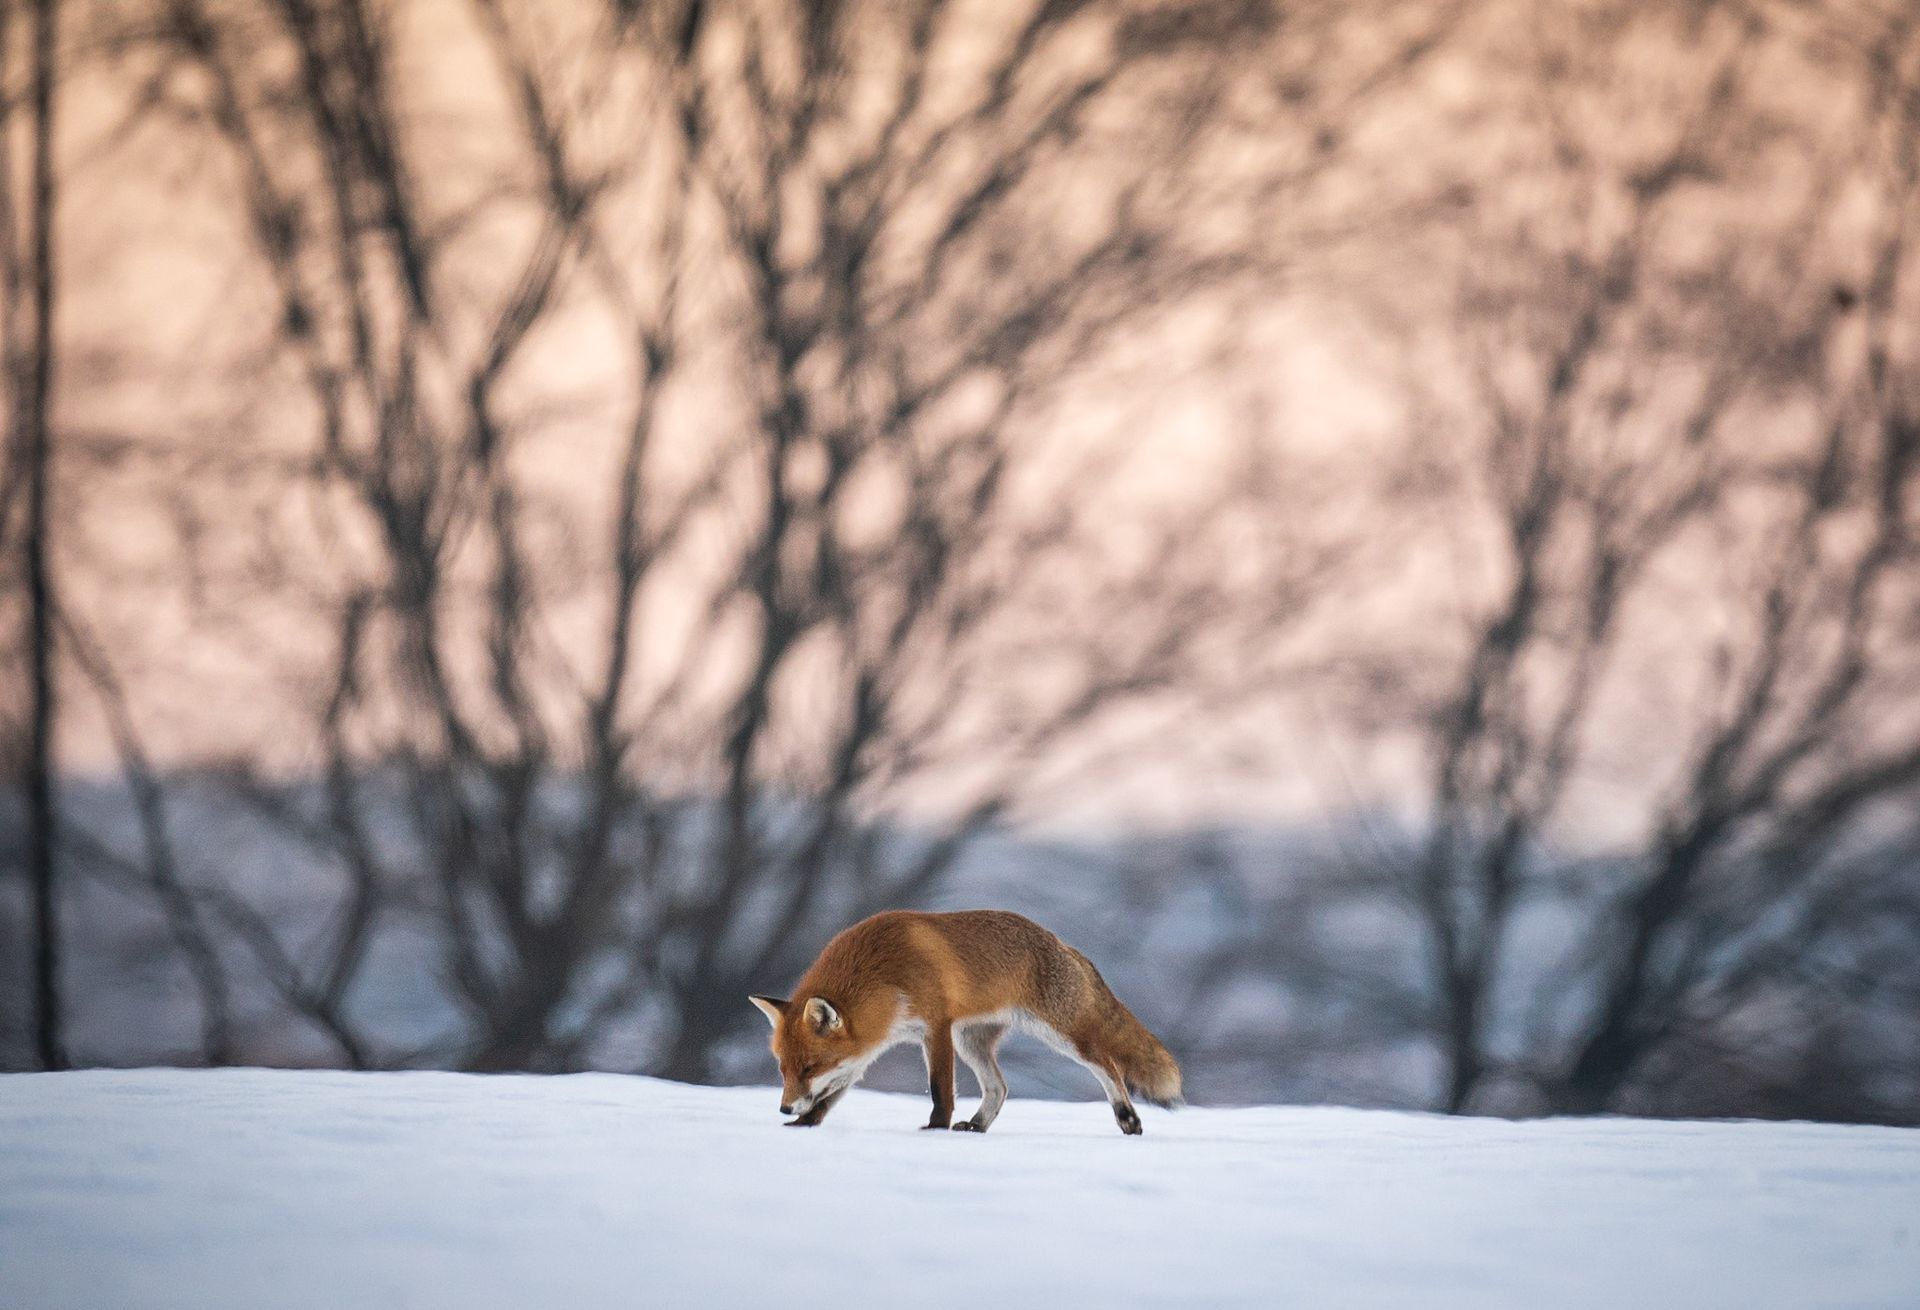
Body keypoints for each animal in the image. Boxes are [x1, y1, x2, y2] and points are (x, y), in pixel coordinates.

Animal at [748, 909, 1182, 1135]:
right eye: (783, 1069)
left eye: (808, 1067)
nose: (784, 1109)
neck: (880, 972)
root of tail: (1062, 943)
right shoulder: (871, 1043)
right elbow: (832, 1093)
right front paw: (807, 1122)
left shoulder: (936, 1026)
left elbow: (940, 1089)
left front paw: (935, 1128)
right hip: (972, 1041)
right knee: (999, 1088)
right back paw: (977, 1125)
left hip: (1062, 1035)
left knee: (1109, 1066)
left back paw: (1128, 1118)